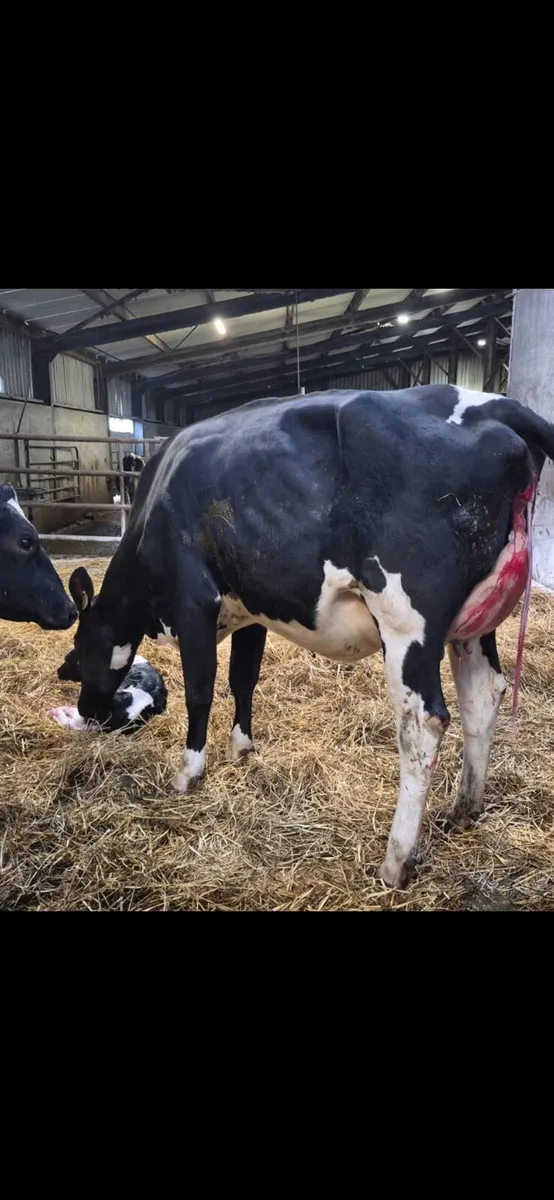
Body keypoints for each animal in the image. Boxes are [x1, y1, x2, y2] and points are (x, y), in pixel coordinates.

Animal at [62, 386, 554, 888]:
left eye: (78, 652)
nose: (87, 709)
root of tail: (493, 404)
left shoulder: (193, 601)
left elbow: (200, 692)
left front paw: (189, 773)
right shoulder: (251, 608)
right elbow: (243, 679)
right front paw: (241, 749)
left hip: (405, 622)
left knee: (423, 724)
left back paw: (396, 860)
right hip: (475, 625)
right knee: (483, 698)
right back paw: (464, 810)